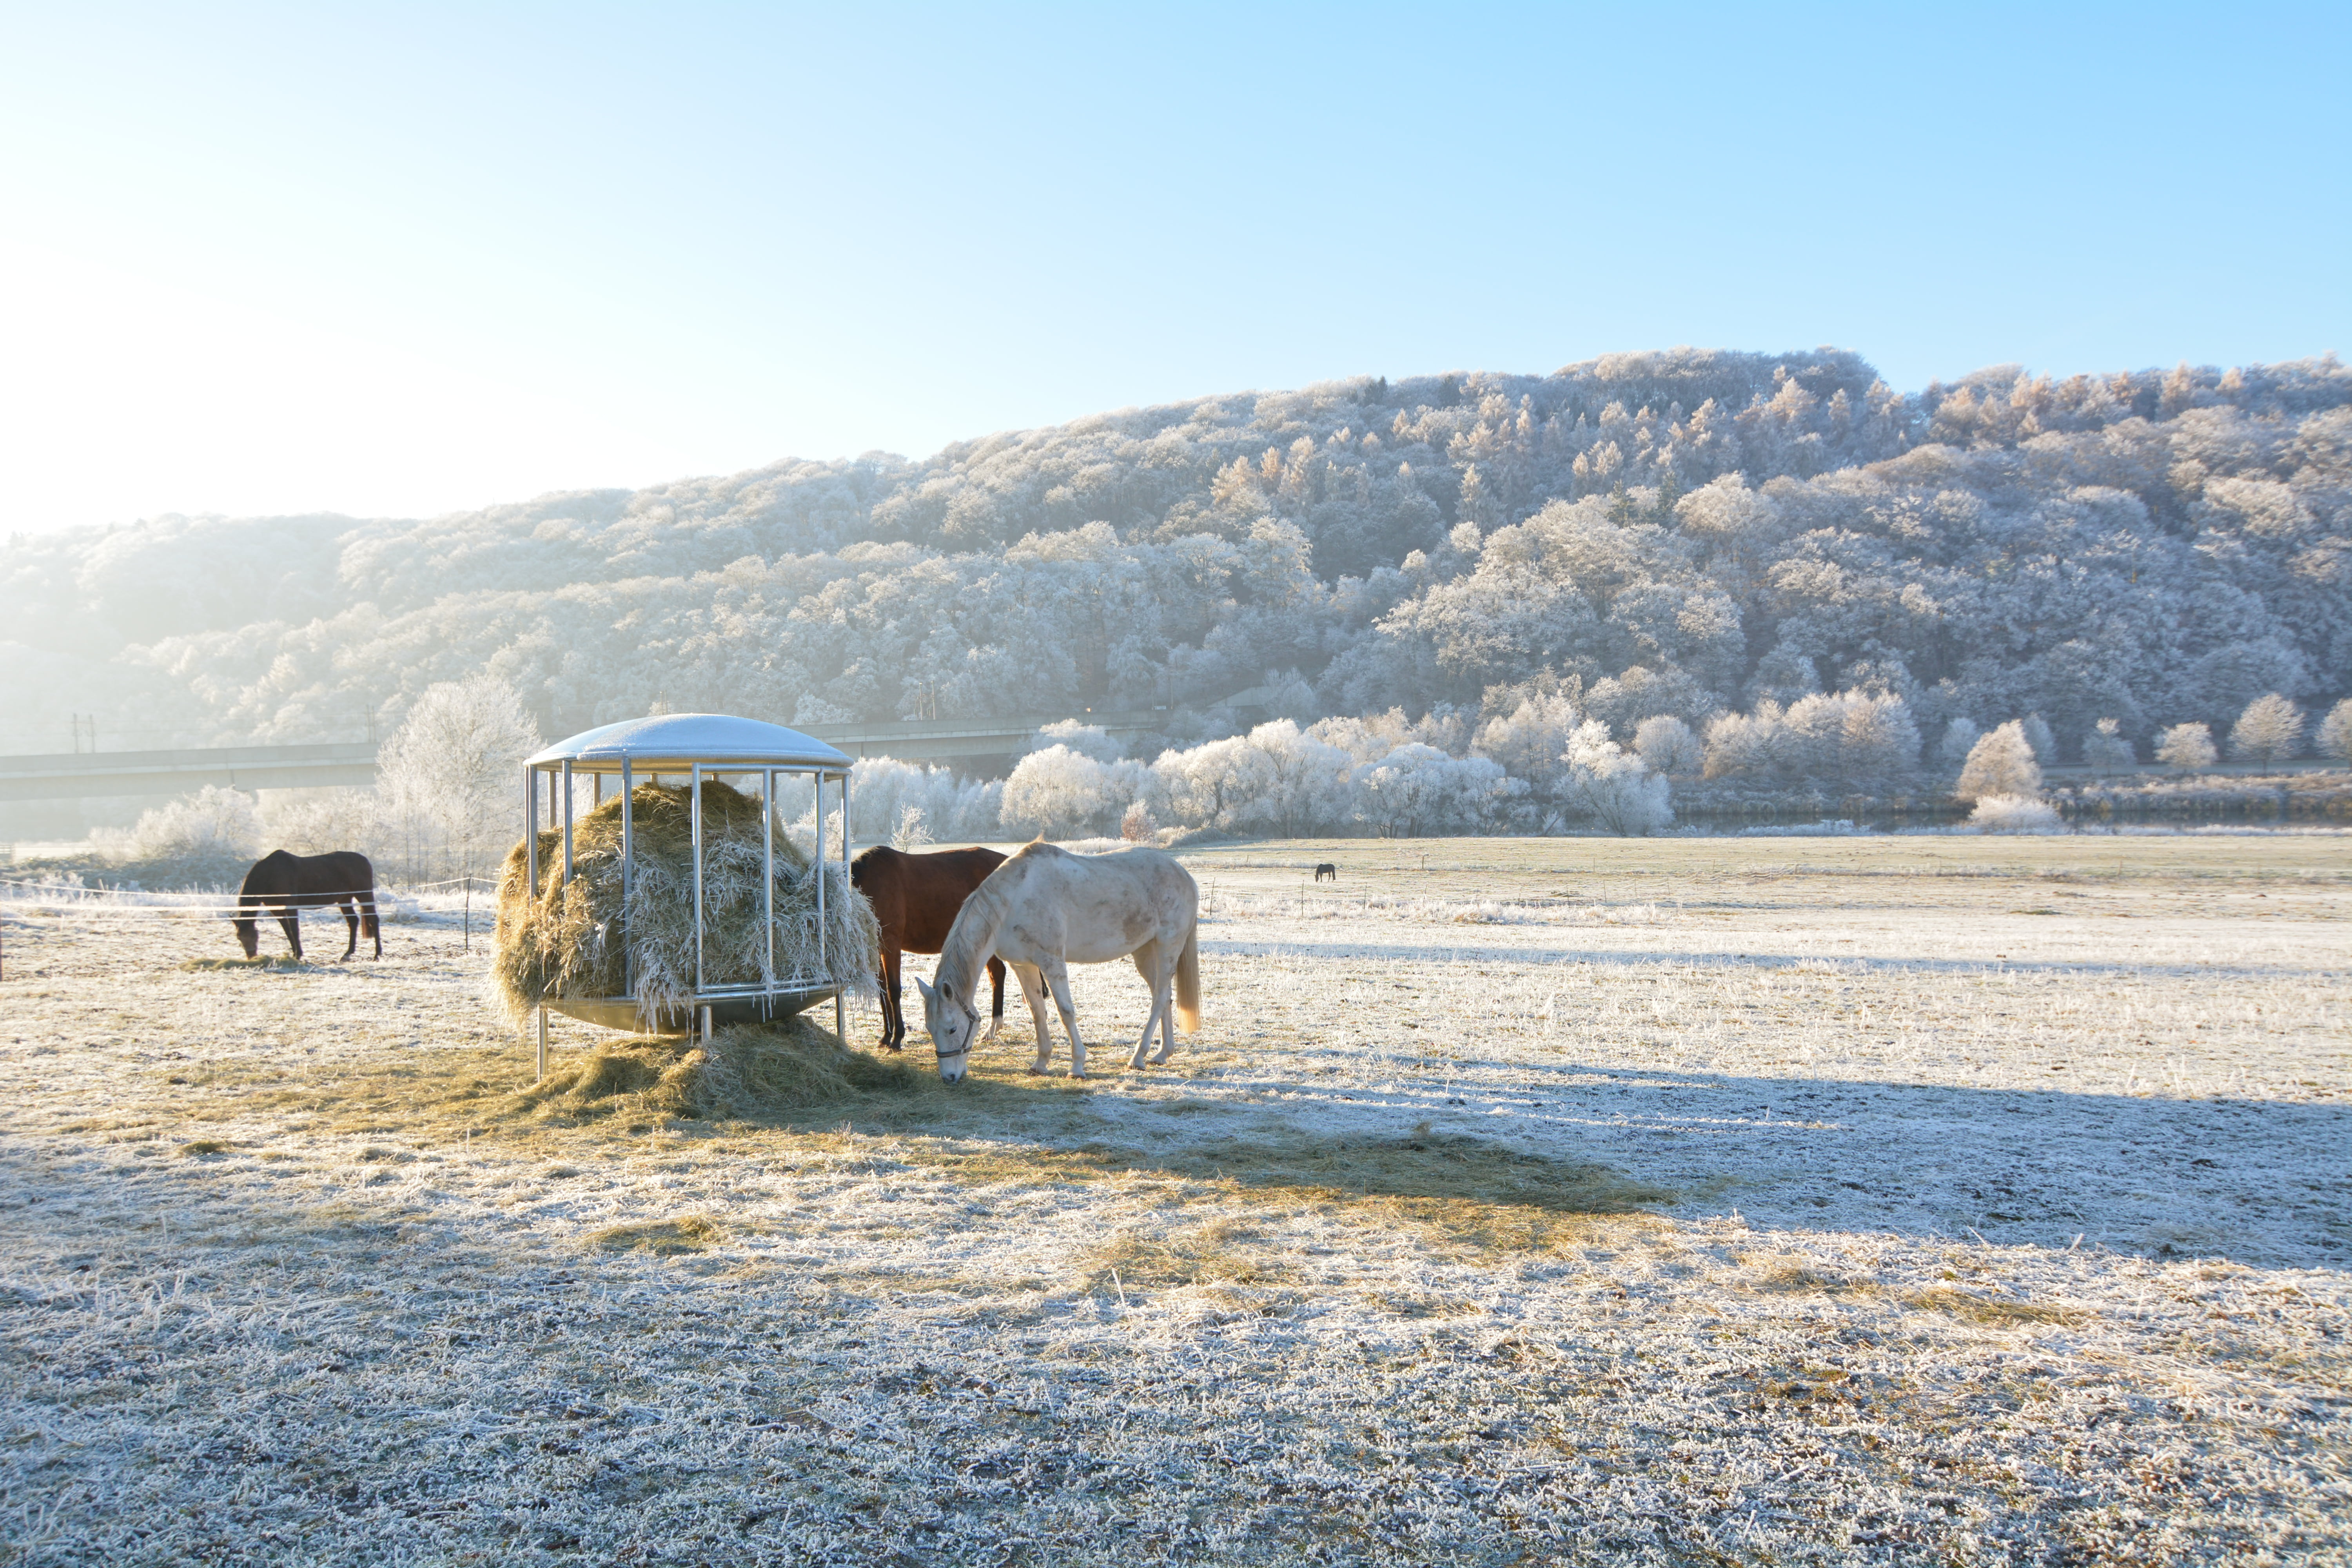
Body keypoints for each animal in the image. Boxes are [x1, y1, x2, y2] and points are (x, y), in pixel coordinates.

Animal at [234, 849, 381, 961]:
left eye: (254, 936)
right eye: (240, 938)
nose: (251, 956)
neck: (270, 874)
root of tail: (365, 860)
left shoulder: (291, 905)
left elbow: (295, 930)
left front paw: (298, 954)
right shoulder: (276, 909)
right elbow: (287, 930)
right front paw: (295, 953)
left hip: (364, 895)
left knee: (374, 919)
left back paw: (377, 954)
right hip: (344, 899)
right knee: (353, 921)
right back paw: (348, 954)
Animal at [850, 845, 1008, 1051]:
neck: (870, 882)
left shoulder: (891, 944)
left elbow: (894, 991)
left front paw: (897, 1038)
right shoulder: (877, 948)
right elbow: (883, 991)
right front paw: (886, 1036)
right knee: (997, 974)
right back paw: (992, 1030)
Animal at [916, 841, 1199, 1082]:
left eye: (953, 1029)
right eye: (930, 1029)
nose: (949, 1077)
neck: (1013, 901)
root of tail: (1184, 875)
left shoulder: (1051, 961)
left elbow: (1065, 1011)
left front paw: (1077, 1066)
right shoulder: (1024, 966)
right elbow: (1037, 1011)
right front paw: (1041, 1063)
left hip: (1168, 946)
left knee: (1160, 998)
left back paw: (1138, 1058)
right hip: (1144, 952)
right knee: (1164, 996)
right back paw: (1162, 1054)